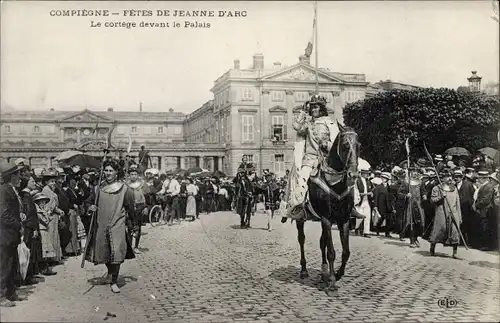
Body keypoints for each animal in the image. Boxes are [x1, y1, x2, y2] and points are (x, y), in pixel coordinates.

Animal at [294, 122, 358, 298]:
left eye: (359, 145)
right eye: (345, 145)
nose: (353, 174)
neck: (335, 182)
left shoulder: (343, 219)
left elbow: (346, 252)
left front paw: (337, 274)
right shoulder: (327, 219)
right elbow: (331, 252)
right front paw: (333, 284)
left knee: (322, 242)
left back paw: (323, 274)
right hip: (301, 219)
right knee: (301, 239)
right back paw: (304, 270)